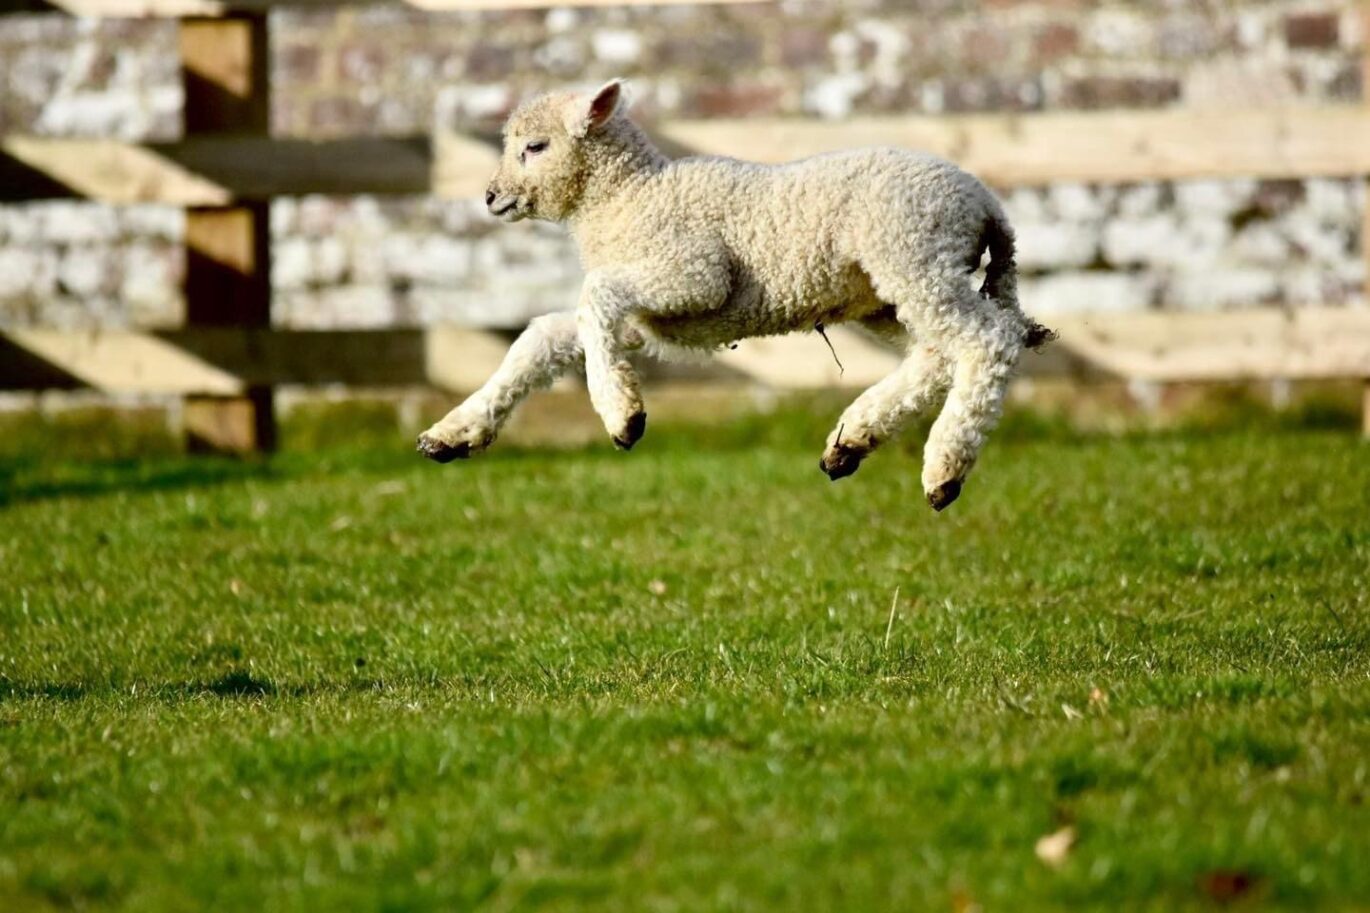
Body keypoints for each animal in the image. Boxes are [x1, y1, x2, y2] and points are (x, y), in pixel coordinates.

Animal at [411, 80, 1052, 507]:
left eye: (536, 147)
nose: (490, 198)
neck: (626, 198)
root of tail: (987, 203)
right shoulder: (642, 320)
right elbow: (542, 338)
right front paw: (453, 434)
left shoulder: (692, 273)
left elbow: (595, 293)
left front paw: (620, 414)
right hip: (890, 291)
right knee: (940, 351)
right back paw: (852, 439)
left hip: (912, 254)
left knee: (989, 340)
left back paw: (944, 467)